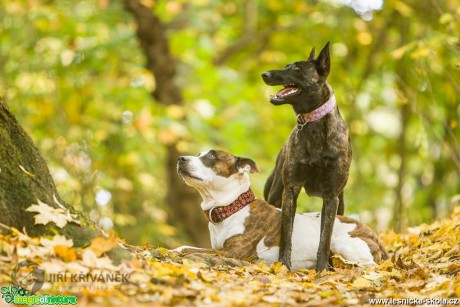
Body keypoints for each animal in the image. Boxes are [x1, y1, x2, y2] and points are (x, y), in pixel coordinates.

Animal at [174, 150, 386, 270]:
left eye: (211, 156)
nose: (181, 158)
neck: (232, 206)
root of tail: (375, 236)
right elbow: (185, 247)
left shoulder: (232, 252)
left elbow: (189, 249)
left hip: (341, 243)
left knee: (369, 265)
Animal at [262, 42, 352, 274]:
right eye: (287, 65)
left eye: (296, 68)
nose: (264, 74)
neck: (313, 124)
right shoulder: (291, 189)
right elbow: (287, 234)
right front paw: (284, 264)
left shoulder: (331, 197)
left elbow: (325, 238)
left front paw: (322, 269)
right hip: (276, 192)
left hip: (340, 204)